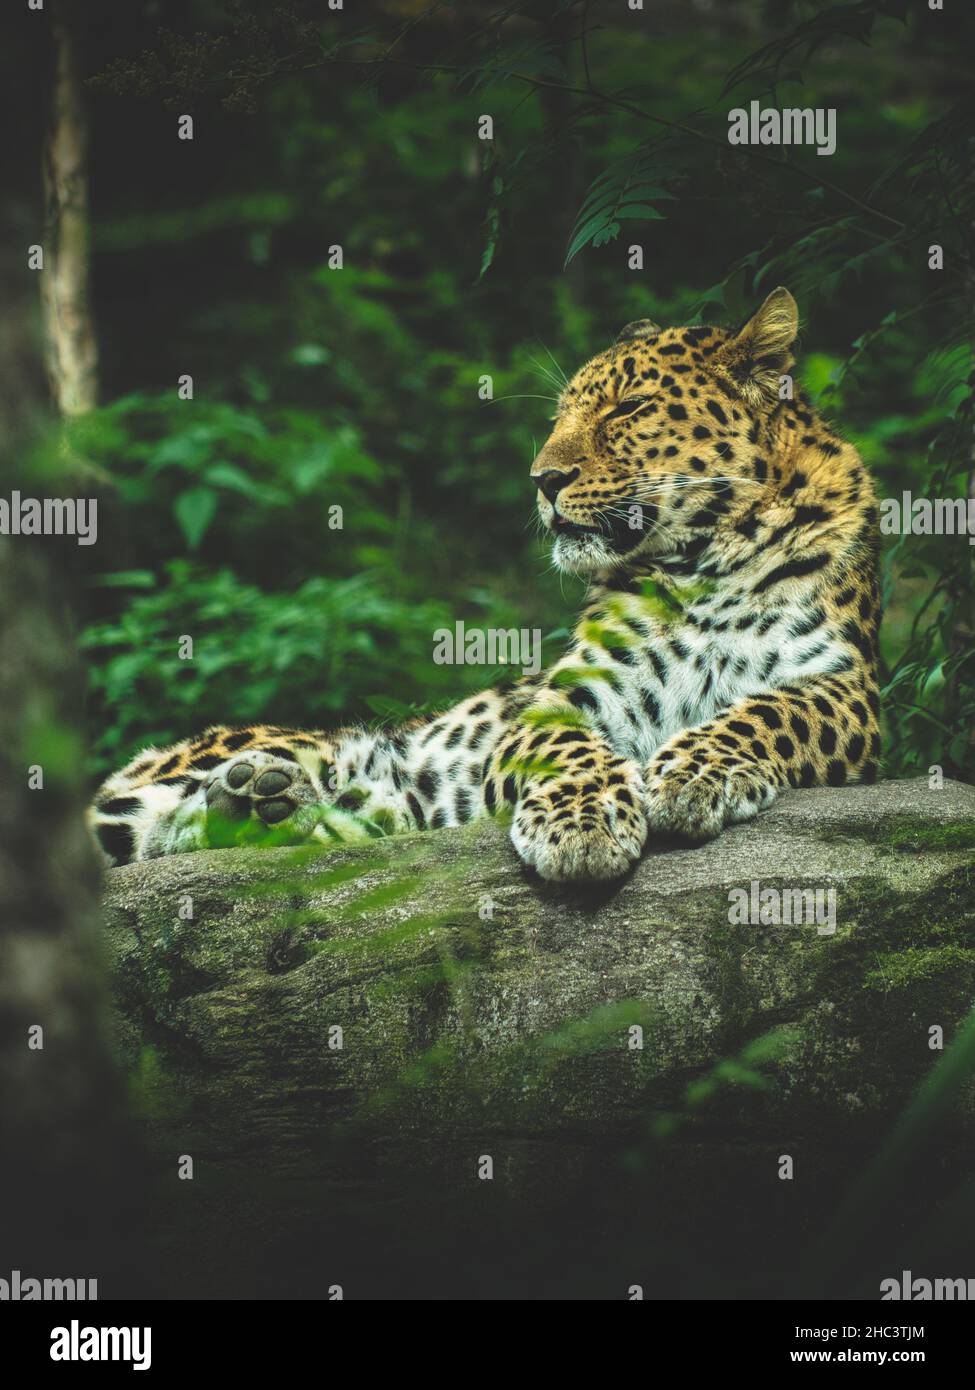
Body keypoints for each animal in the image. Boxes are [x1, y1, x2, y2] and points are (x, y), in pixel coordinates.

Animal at [89, 286, 882, 883]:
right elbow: (569, 751)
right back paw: (255, 792)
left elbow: (769, 711)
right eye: (561, 414)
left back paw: (263, 805)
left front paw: (692, 773)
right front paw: (582, 824)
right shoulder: (562, 700)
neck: (702, 559)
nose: (542, 479)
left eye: (628, 408)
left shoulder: (847, 685)